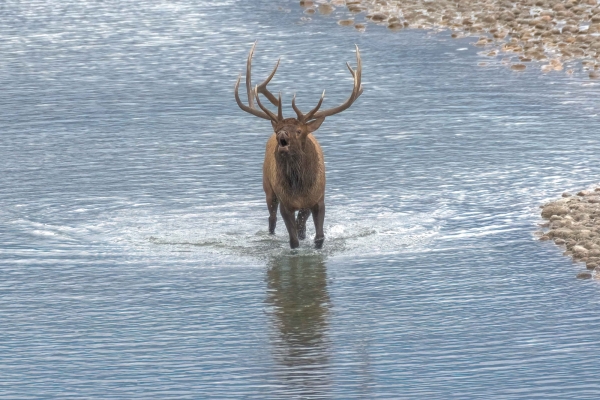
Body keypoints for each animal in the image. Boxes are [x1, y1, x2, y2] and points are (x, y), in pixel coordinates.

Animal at [236, 42, 364, 248]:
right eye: (278, 129)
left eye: (298, 131)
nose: (282, 134)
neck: (300, 188)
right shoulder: (285, 203)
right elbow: (293, 240)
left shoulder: (318, 199)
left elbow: (317, 235)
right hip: (268, 189)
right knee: (272, 219)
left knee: (300, 223)